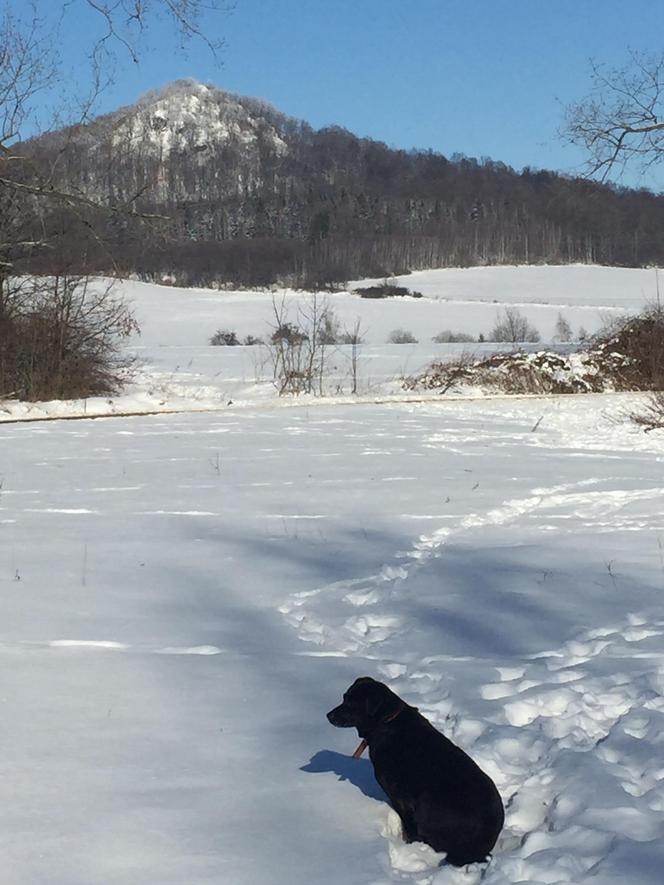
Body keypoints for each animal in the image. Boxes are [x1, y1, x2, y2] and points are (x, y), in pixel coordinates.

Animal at [326, 676, 504, 864]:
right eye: (344, 697)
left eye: (352, 703)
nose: (328, 715)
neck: (386, 722)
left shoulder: (402, 798)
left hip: (428, 804)